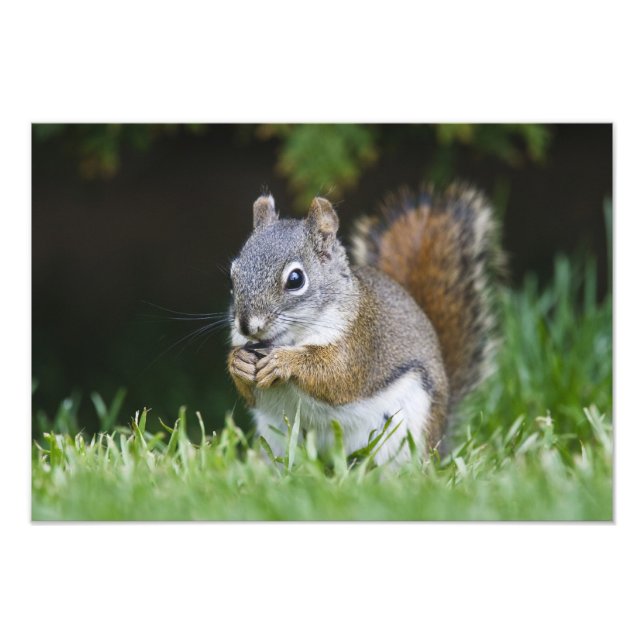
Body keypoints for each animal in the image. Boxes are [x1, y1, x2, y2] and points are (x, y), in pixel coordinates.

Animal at [227, 185, 500, 465]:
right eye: (233, 275)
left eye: (295, 279)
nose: (246, 326)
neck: (290, 338)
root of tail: (440, 439)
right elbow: (249, 392)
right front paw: (239, 362)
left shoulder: (361, 344)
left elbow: (336, 376)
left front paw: (283, 362)